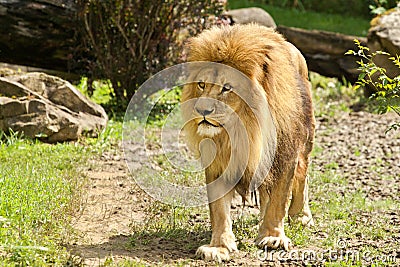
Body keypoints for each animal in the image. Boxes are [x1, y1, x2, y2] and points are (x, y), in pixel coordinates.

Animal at [180, 24, 316, 262]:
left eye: (226, 88)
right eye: (201, 84)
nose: (201, 110)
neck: (242, 130)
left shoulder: (285, 154)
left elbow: (279, 199)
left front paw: (273, 237)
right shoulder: (217, 163)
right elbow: (219, 209)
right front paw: (218, 247)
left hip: (306, 139)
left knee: (303, 176)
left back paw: (301, 216)